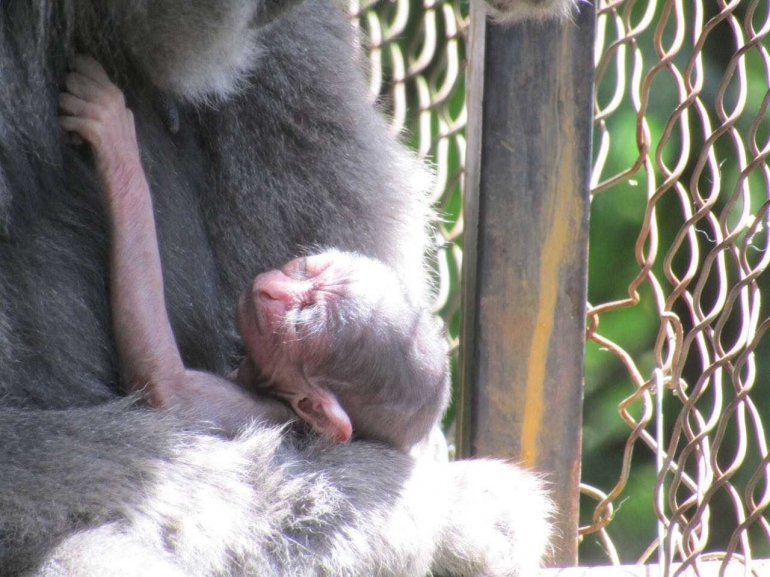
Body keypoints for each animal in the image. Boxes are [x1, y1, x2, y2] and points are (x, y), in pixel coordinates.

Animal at [60, 54, 448, 450]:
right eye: (305, 269)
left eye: (301, 321)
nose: (272, 289)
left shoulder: (265, 412)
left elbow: (169, 388)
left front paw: (117, 144)